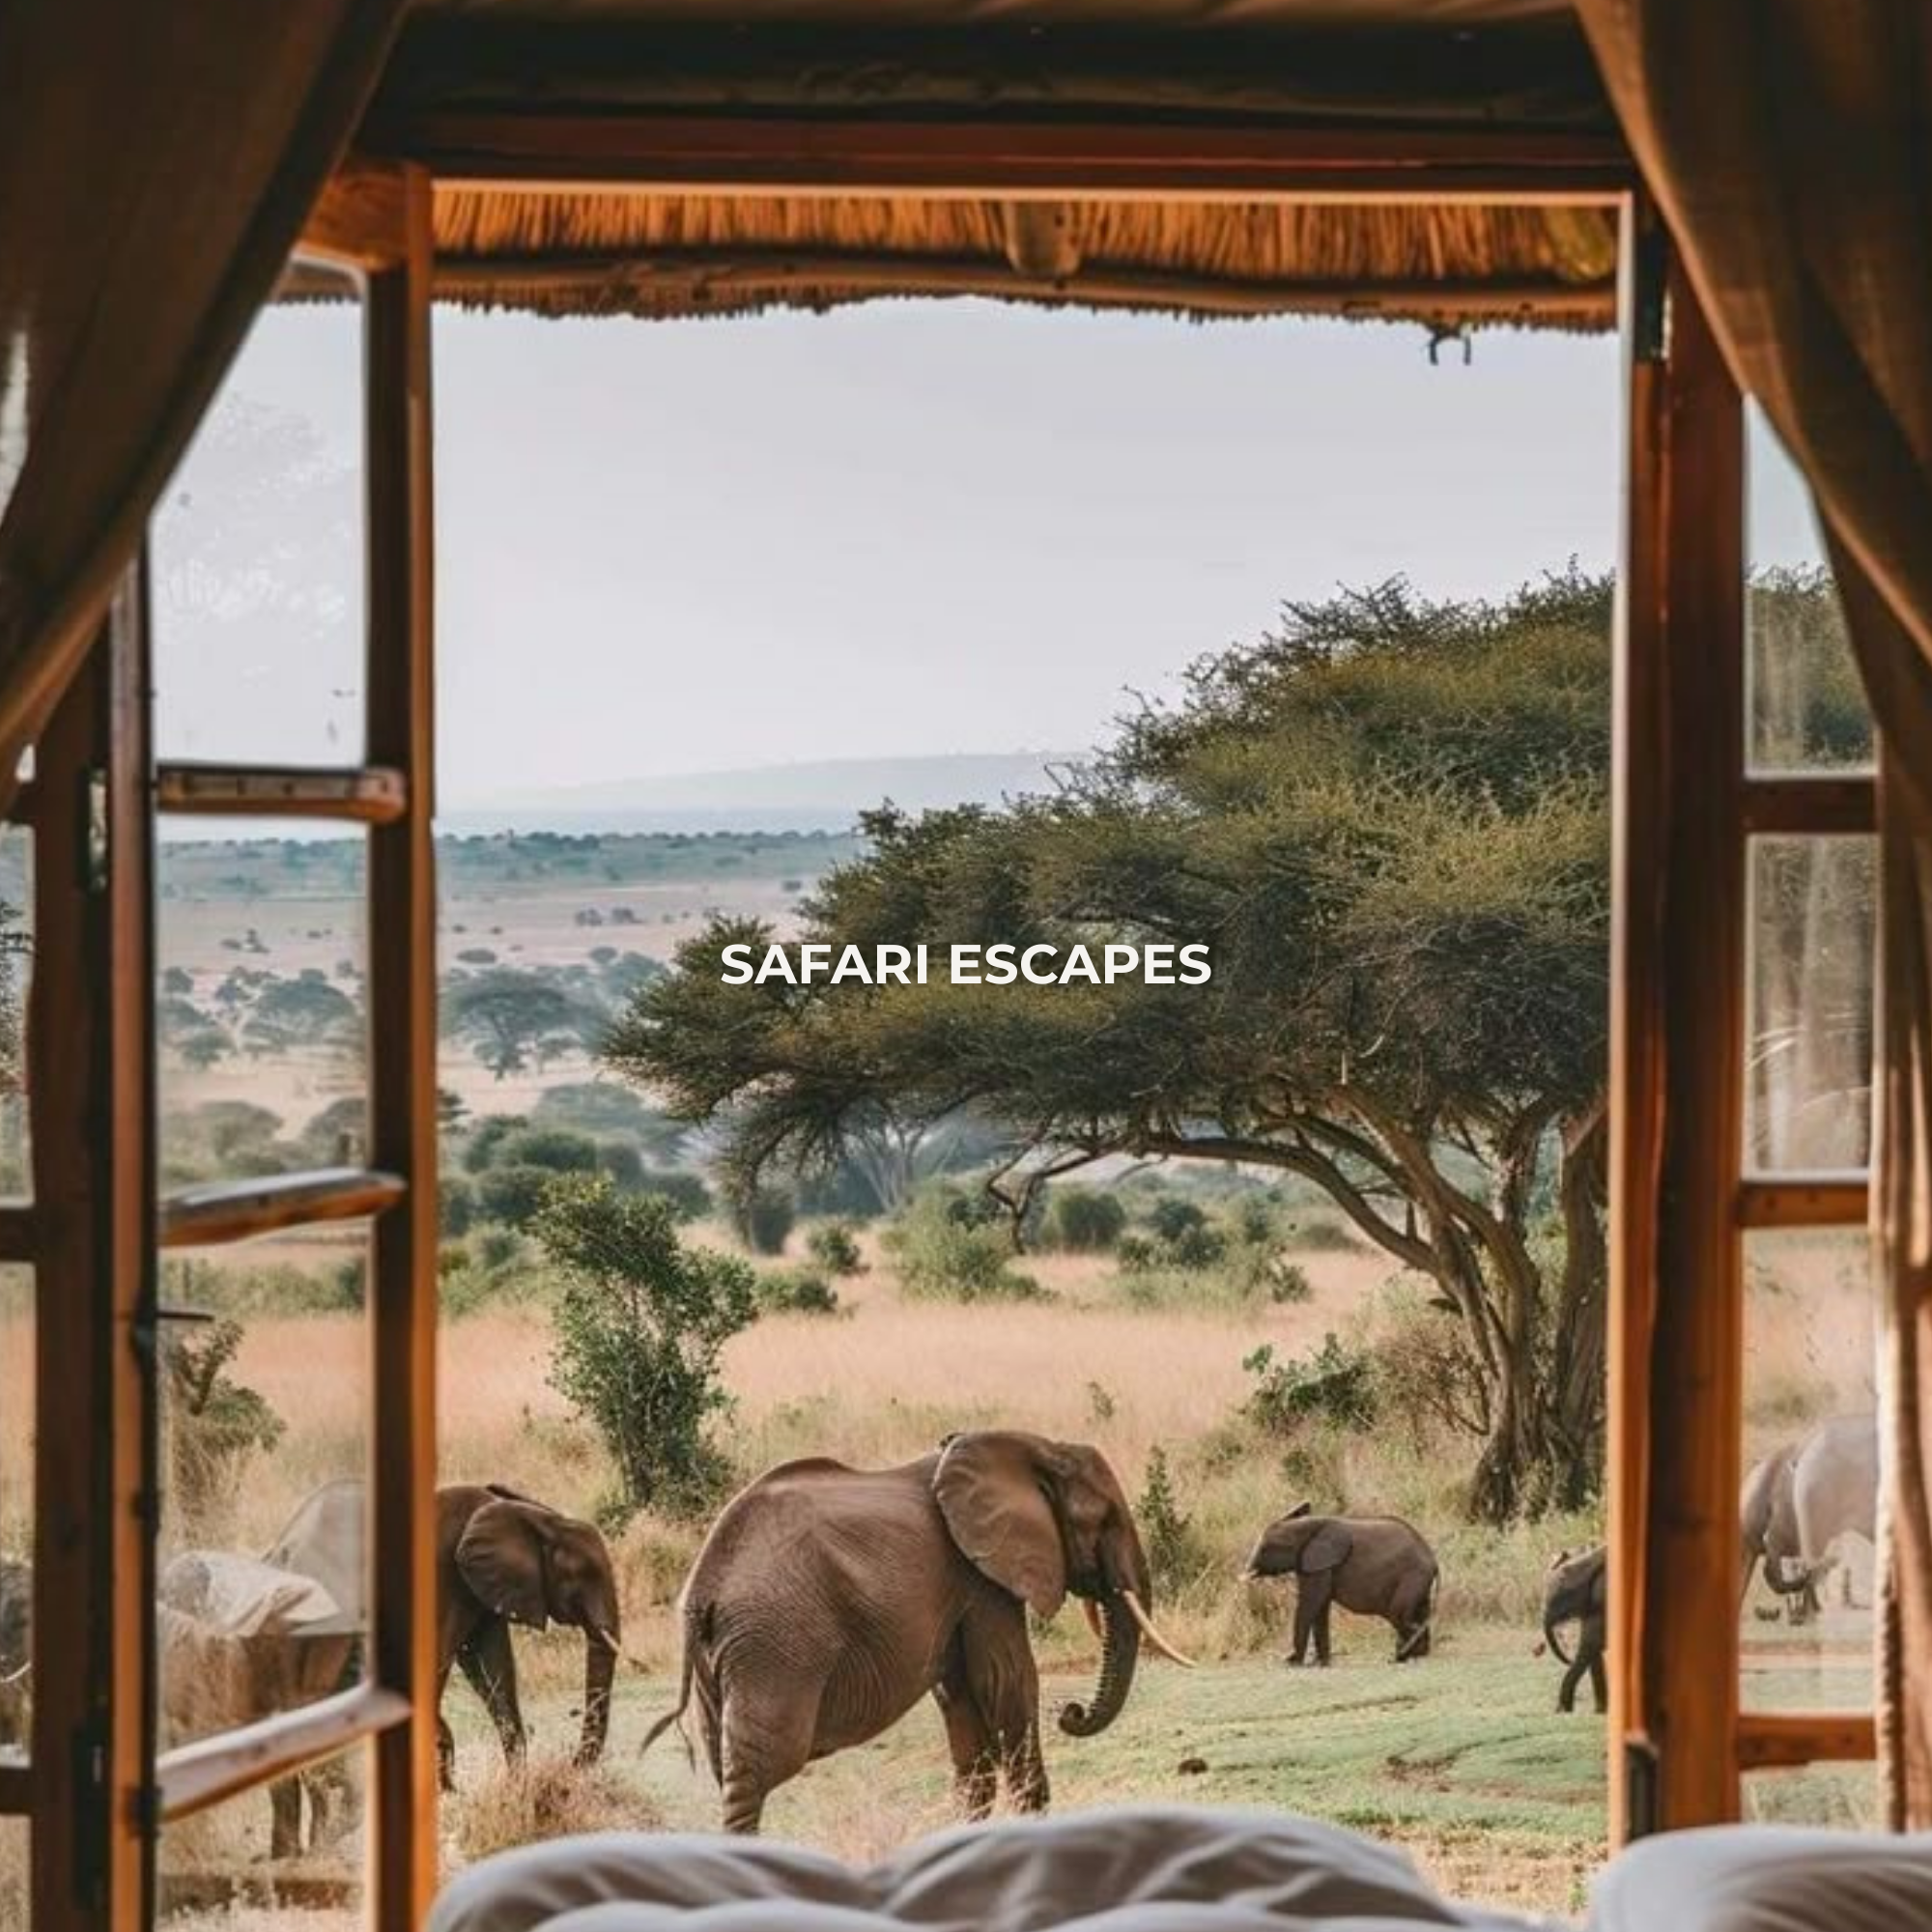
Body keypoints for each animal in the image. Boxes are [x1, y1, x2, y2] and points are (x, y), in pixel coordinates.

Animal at [266, 1477, 621, 1789]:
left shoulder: (482, 1588)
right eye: (585, 1574)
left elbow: (493, 1669)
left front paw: (515, 1787)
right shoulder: (446, 1581)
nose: (570, 1768)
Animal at [642, 1429, 1193, 1833]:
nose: (1072, 1713)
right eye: (1106, 1520)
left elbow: (963, 1704)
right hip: (776, 1646)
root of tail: (703, 1589)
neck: (1030, 1446)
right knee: (757, 1770)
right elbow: (1009, 1684)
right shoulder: (981, 1580)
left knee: (724, 1763)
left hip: (723, 1658)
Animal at [1242, 1505, 1438, 1665]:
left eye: (1267, 1548)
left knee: (1399, 1615)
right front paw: (1321, 1663)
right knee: (1418, 1613)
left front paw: (1293, 1663)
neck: (1307, 1526)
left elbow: (1309, 1605)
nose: (1245, 1575)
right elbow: (1320, 1609)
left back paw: (1400, 1658)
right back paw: (1416, 1655)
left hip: (1412, 1576)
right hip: (1419, 1581)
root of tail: (1434, 1561)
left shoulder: (1319, 1563)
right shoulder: (1315, 1564)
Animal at [1539, 1545, 1606, 1714]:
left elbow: (1590, 1643)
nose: (1568, 1660)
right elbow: (1592, 1647)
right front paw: (1600, 1711)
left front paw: (1562, 1710)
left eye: (1561, 1597)